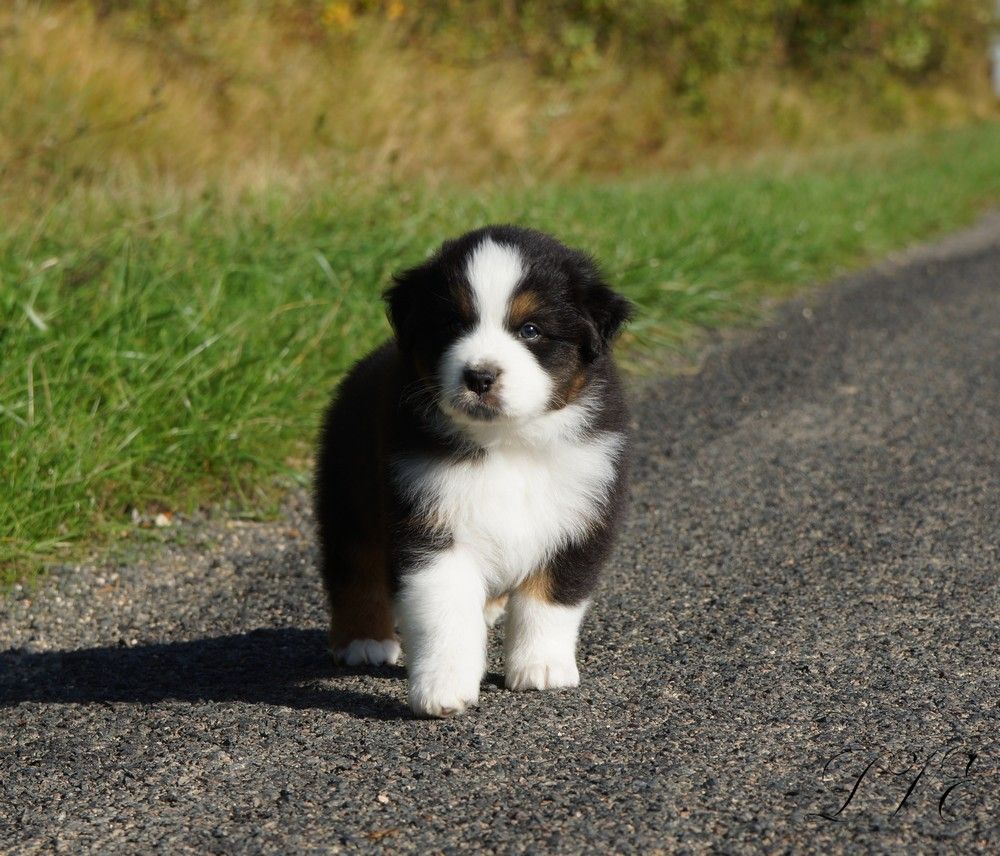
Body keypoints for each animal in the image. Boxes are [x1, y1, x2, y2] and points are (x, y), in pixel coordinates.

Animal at [314, 225, 632, 717]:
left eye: (530, 330)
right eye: (452, 325)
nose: (479, 376)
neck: (508, 441)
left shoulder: (583, 509)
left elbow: (551, 598)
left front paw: (541, 668)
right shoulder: (426, 519)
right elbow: (444, 612)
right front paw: (442, 688)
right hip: (349, 490)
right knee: (354, 568)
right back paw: (363, 640)